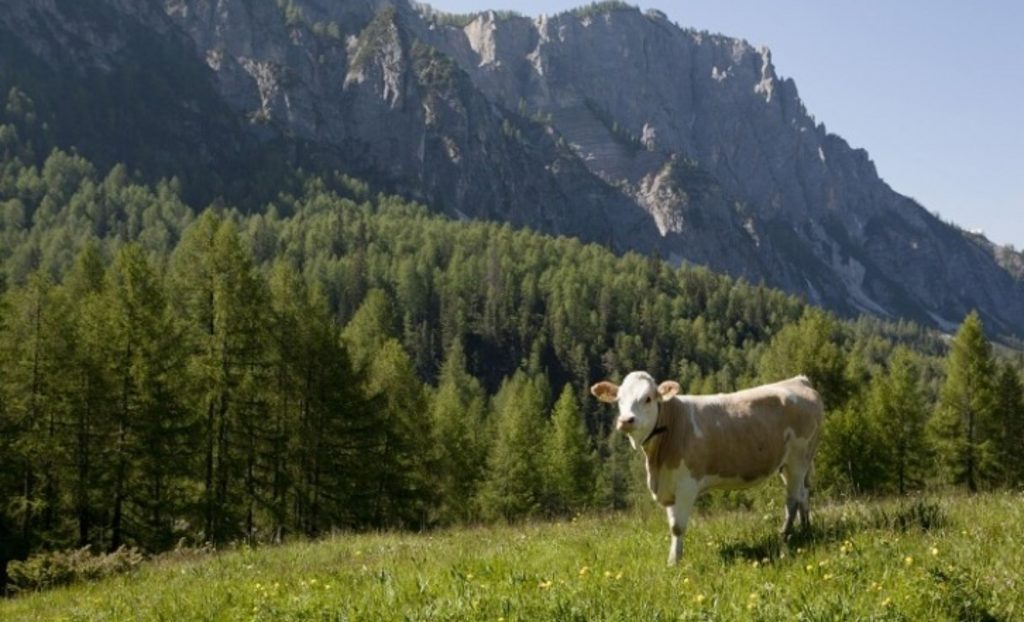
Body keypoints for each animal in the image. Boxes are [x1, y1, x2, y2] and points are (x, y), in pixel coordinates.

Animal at [593, 372, 823, 565]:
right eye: (619, 400)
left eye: (648, 398)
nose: (626, 420)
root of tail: (797, 380)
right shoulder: (669, 486)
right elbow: (672, 524)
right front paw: (672, 559)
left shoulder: (686, 485)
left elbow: (677, 527)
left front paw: (675, 563)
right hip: (791, 463)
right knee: (804, 493)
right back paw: (805, 529)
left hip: (798, 459)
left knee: (792, 500)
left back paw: (784, 537)